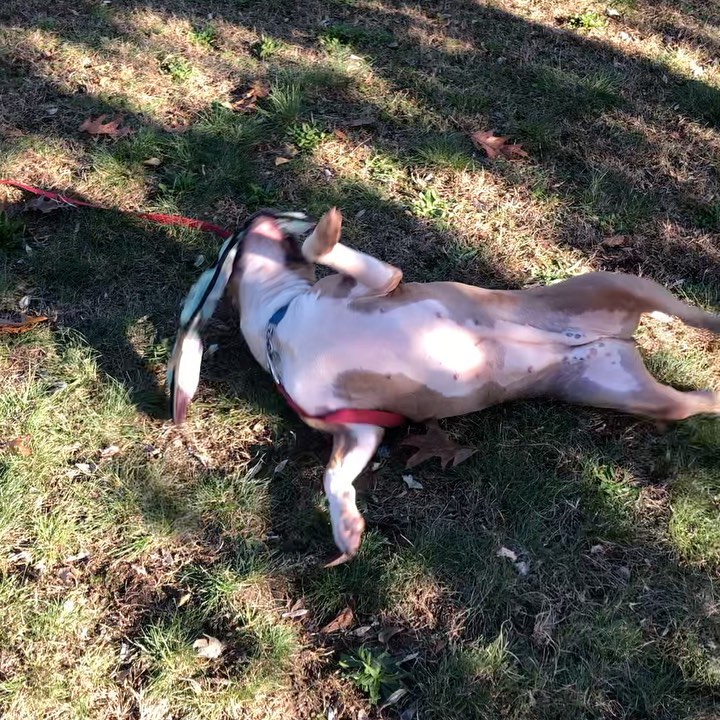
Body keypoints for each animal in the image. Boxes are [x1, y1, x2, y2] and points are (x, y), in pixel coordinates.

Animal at [167, 207, 720, 564]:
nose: (272, 211)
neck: (278, 325)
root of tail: (617, 336)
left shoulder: (378, 280)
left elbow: (320, 247)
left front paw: (324, 228)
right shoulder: (358, 429)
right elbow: (333, 476)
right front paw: (346, 529)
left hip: (624, 283)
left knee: (695, 314)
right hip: (627, 390)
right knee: (690, 403)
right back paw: (711, 398)